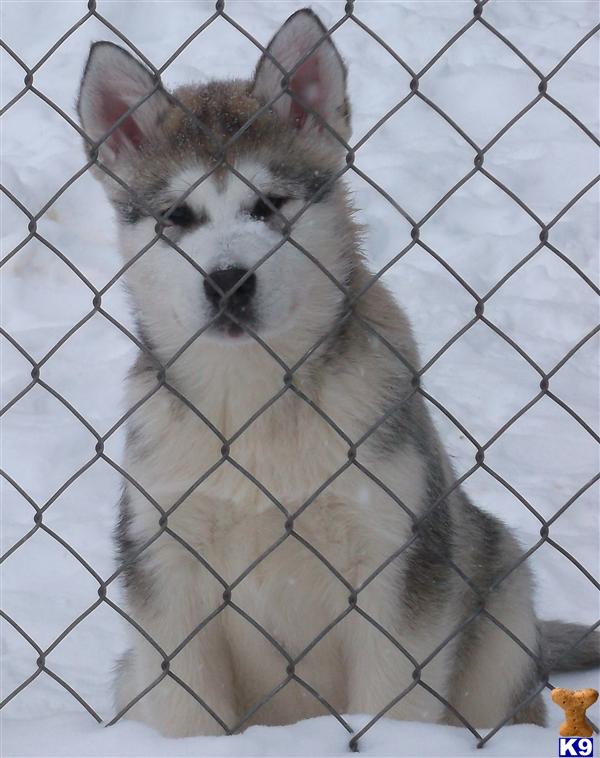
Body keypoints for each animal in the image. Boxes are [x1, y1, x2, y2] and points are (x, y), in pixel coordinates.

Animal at [77, 8, 596, 740]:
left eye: (270, 204)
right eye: (177, 216)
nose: (228, 281)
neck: (258, 402)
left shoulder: (395, 564)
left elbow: (392, 704)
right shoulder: (168, 573)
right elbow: (187, 712)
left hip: (501, 608)